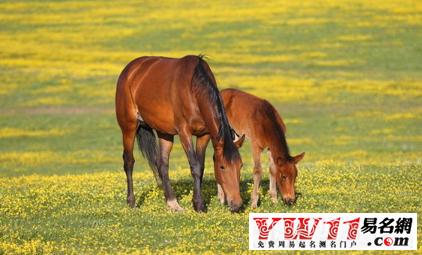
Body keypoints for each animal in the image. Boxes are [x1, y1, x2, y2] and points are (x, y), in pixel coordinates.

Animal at [114, 55, 244, 213]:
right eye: (222, 167)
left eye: (240, 165)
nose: (237, 205)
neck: (194, 89)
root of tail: (129, 70)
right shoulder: (184, 133)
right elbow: (194, 166)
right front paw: (199, 205)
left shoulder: (204, 135)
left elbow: (200, 167)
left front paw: (196, 202)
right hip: (129, 127)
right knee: (128, 161)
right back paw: (131, 202)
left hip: (164, 133)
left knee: (162, 165)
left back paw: (172, 203)